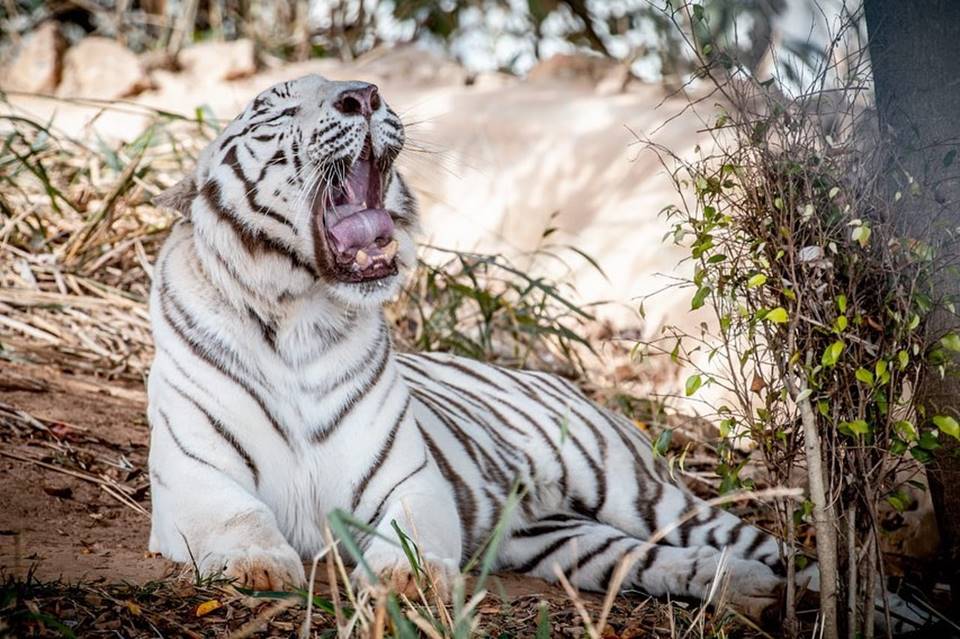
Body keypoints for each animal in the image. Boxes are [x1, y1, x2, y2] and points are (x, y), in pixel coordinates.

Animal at [148, 75, 928, 636]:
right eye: (277, 108)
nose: (364, 95)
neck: (299, 316)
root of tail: (557, 379)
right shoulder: (197, 476)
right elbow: (239, 521)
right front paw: (259, 568)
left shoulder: (408, 480)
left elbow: (408, 536)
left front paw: (406, 582)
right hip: (561, 538)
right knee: (672, 562)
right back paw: (760, 597)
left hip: (643, 493)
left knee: (793, 554)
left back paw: (869, 610)